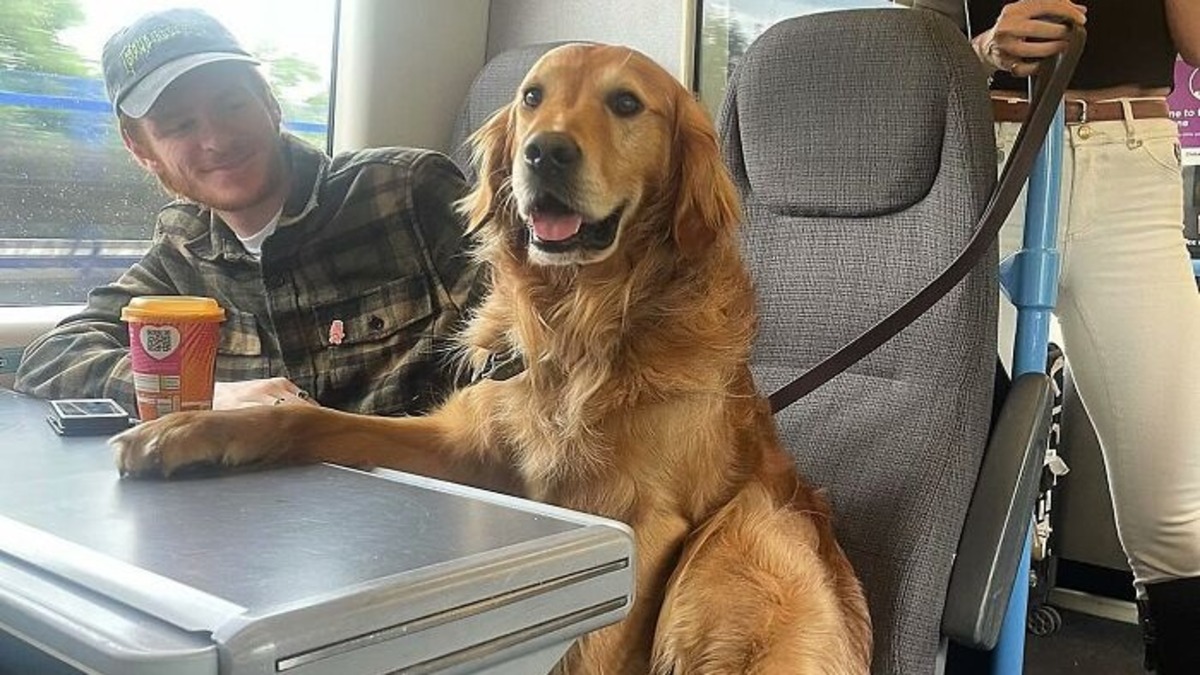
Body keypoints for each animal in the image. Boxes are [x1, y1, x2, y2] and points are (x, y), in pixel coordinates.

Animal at [112, 44, 873, 667]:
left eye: (627, 103)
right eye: (533, 96)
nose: (545, 152)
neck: (578, 322)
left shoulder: (650, 523)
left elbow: (592, 648)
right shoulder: (466, 447)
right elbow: (305, 420)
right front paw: (190, 429)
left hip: (739, 538)